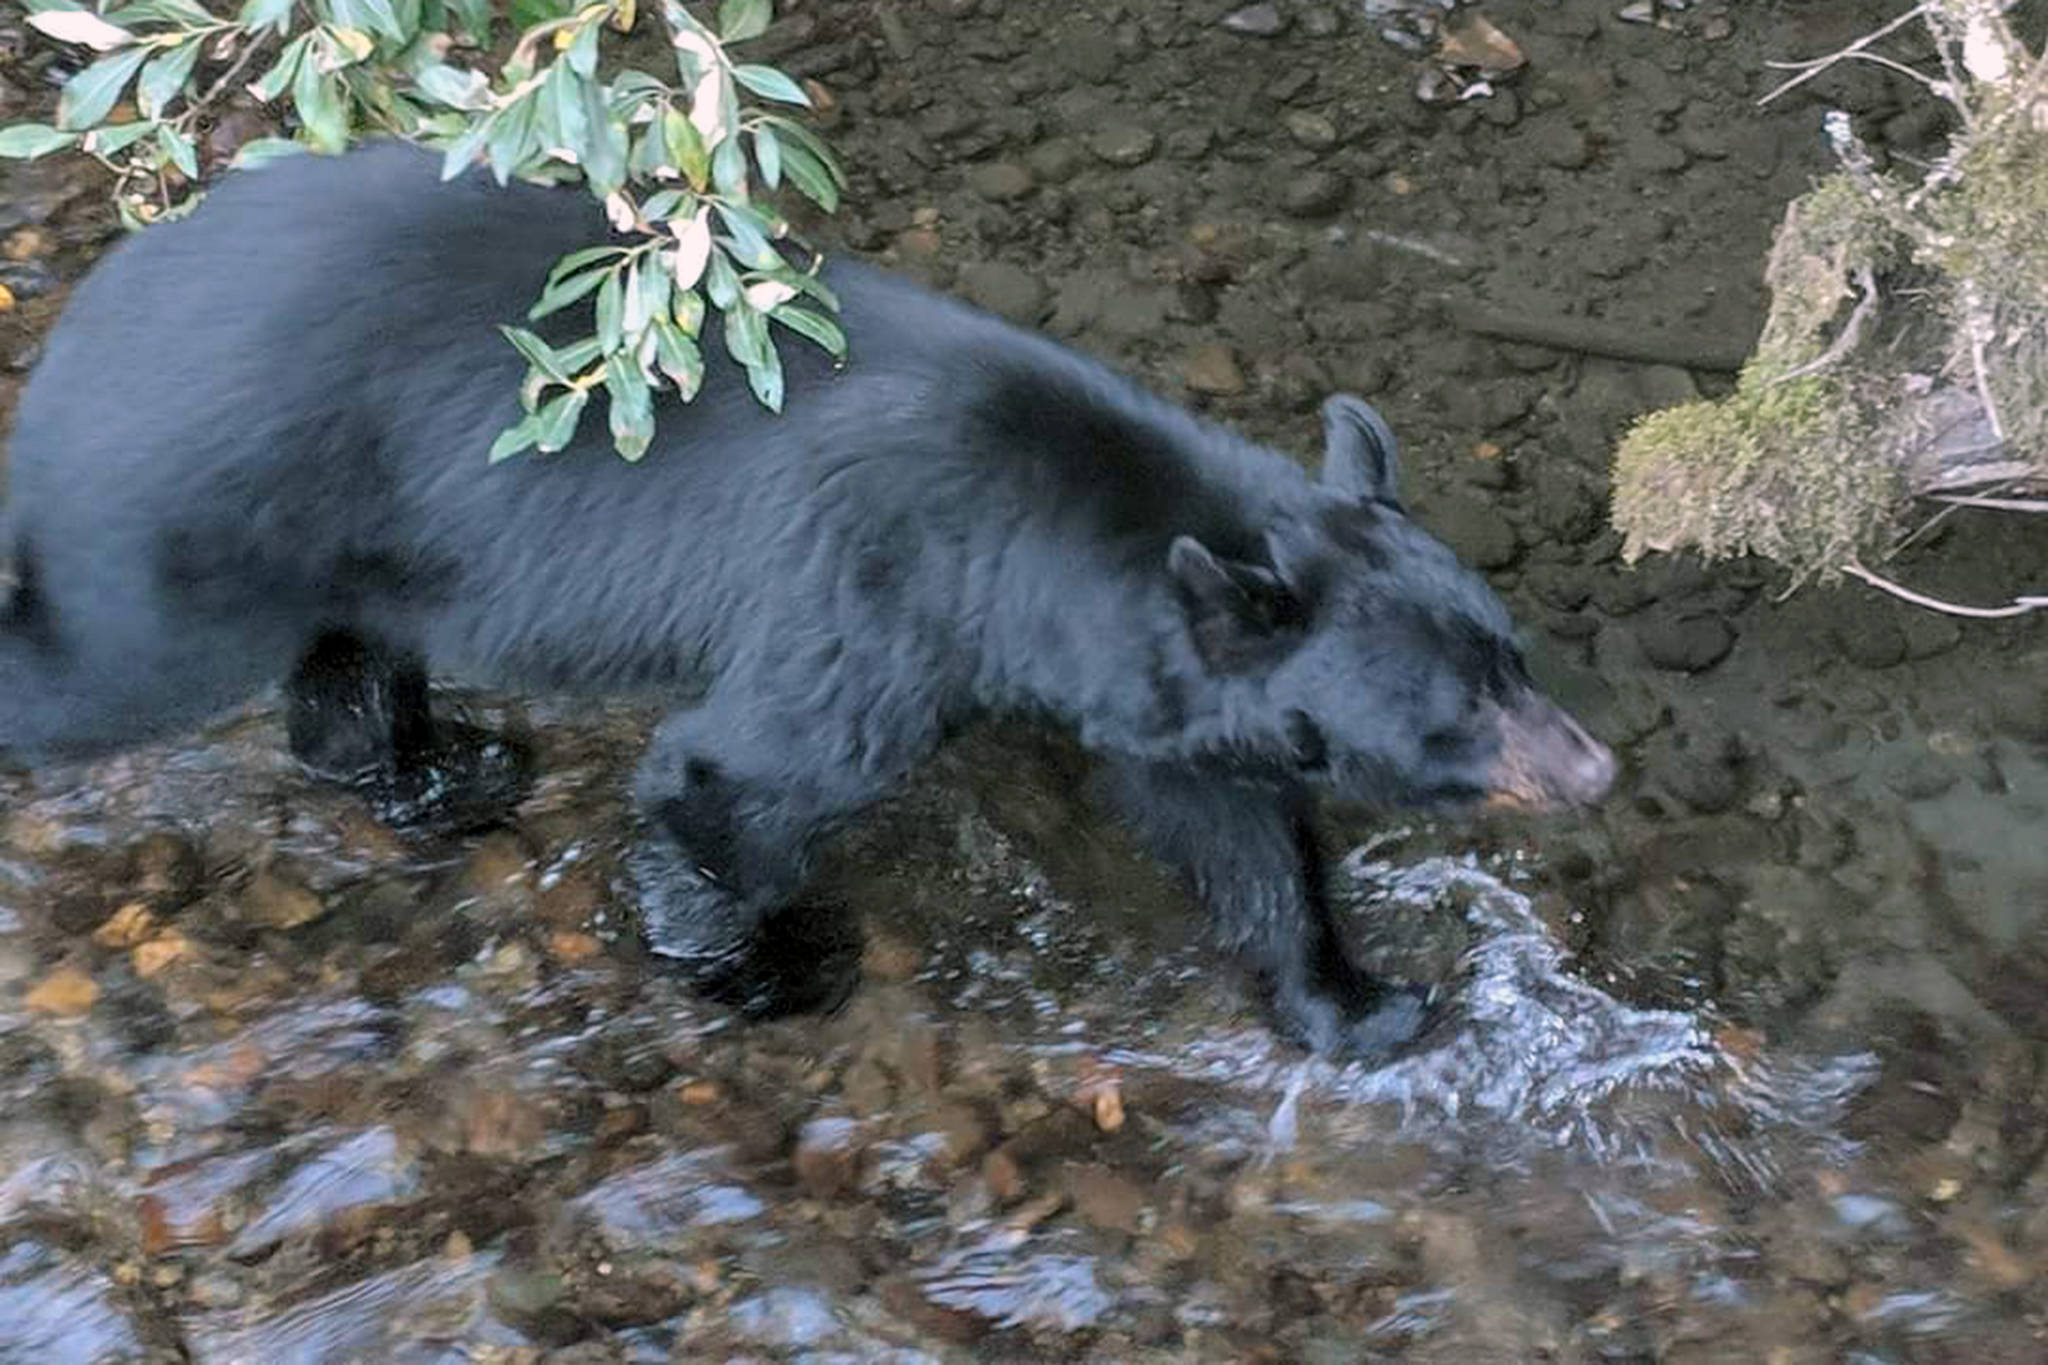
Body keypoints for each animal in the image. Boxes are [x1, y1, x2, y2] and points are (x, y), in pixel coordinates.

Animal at [0, 141, 1613, 1055]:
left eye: (1512, 656)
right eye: (1462, 713)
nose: (1595, 766)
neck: (1030, 545)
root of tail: (82, 326)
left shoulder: (1151, 676)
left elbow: (1232, 826)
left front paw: (1359, 1001)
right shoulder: (875, 597)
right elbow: (737, 781)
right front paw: (774, 968)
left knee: (348, 675)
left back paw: (444, 773)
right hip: (189, 530)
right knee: (95, 662)